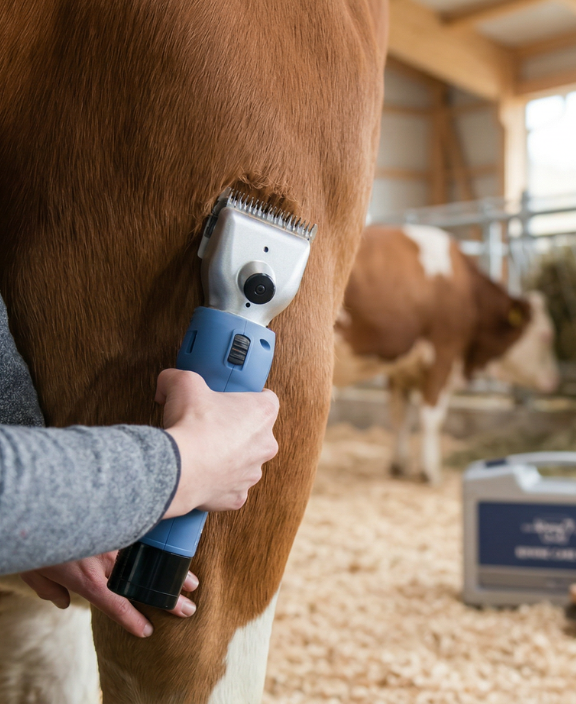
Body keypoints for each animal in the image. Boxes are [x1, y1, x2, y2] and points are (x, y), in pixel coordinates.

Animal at [335, 224, 559, 485]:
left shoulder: (401, 368)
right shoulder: (443, 353)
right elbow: (432, 417)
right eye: (546, 336)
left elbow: (400, 416)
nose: (553, 380)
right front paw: (430, 472)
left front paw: (399, 465)